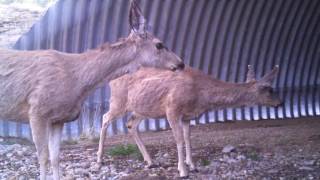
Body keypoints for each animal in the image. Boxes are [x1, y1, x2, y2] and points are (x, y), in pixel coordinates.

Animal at [0, 0, 185, 179]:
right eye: (159, 44)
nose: (181, 63)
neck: (76, 79)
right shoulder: (37, 112)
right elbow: (43, 158)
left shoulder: (58, 119)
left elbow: (55, 157)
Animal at [96, 65, 282, 177]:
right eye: (269, 89)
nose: (280, 103)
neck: (200, 94)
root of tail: (111, 80)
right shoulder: (172, 109)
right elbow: (178, 139)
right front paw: (183, 171)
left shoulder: (187, 116)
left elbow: (188, 139)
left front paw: (192, 165)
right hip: (119, 100)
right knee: (105, 118)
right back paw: (99, 159)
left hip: (142, 108)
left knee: (130, 124)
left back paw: (150, 161)